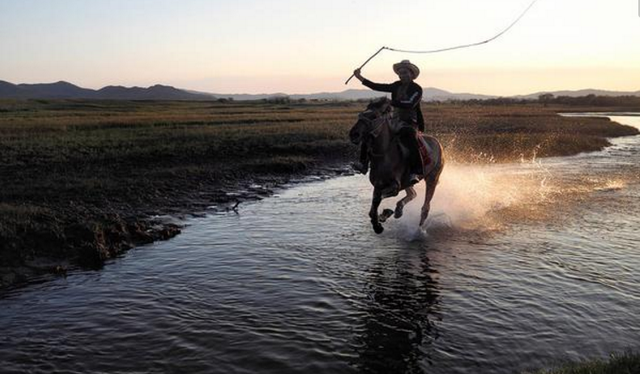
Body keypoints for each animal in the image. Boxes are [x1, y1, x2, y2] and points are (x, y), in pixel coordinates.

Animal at [350, 98, 444, 235]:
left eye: (374, 116)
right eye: (360, 115)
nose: (354, 134)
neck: (384, 156)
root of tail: (438, 143)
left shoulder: (395, 186)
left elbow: (378, 199)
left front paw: (384, 215)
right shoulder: (378, 185)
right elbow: (373, 206)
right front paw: (378, 223)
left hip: (432, 178)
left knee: (425, 207)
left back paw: (418, 230)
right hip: (408, 182)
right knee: (412, 193)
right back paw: (399, 210)